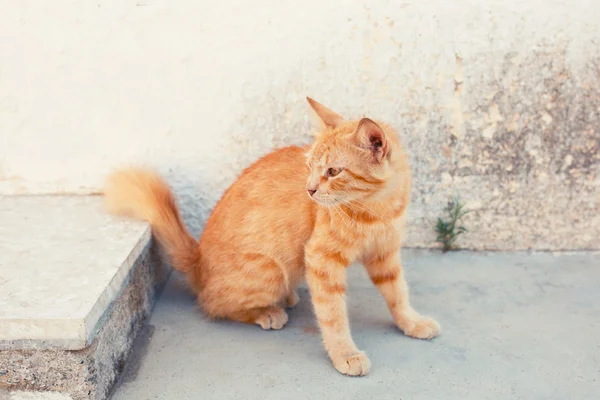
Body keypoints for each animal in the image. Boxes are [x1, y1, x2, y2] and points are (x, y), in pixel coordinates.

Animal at [103, 97, 440, 376]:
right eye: (309, 166)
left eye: (333, 172)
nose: (310, 190)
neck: (376, 210)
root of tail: (198, 262)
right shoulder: (321, 259)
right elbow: (333, 315)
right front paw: (345, 353)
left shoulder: (385, 254)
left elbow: (397, 293)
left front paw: (411, 321)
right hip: (271, 269)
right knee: (213, 304)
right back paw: (267, 311)